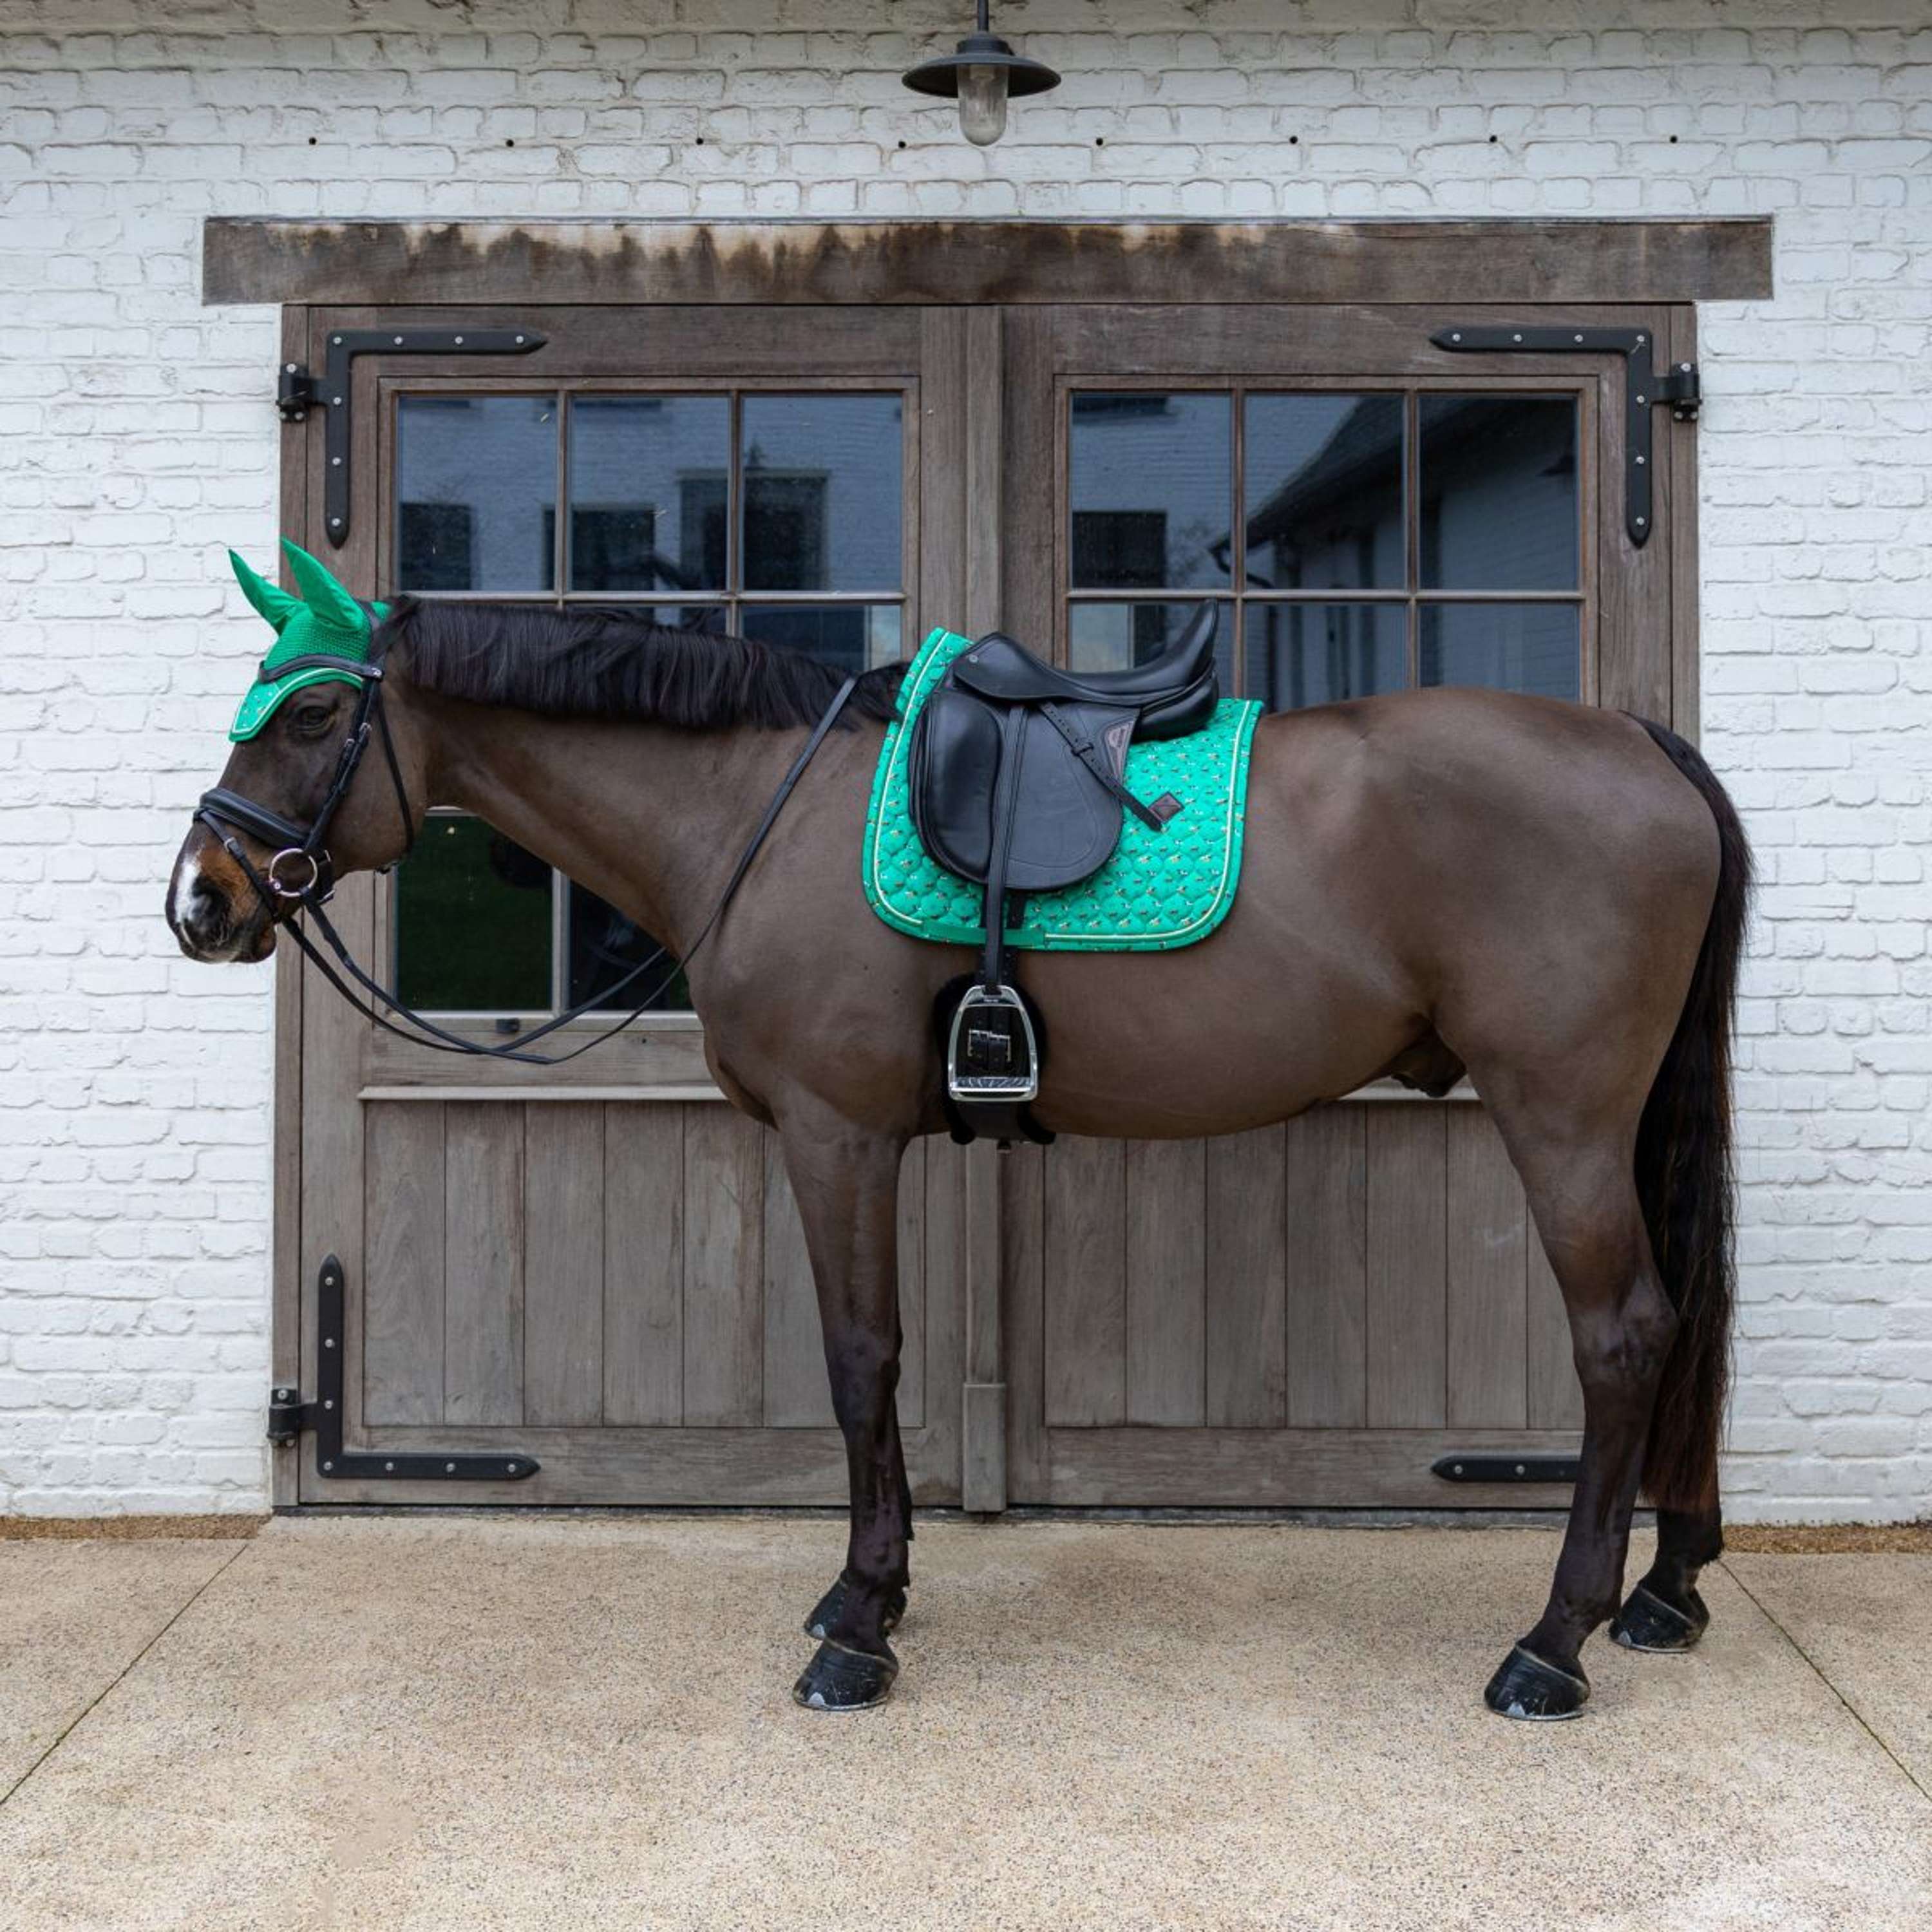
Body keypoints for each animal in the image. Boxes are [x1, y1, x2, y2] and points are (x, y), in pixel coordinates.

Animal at [168, 558, 1750, 1721]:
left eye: (312, 715)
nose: (203, 899)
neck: (757, 808)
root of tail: (1639, 740)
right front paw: (869, 1592)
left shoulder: (839, 1137)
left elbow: (862, 1360)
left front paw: (859, 1629)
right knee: (1684, 1321)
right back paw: (1668, 1590)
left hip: (1563, 1119)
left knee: (1624, 1337)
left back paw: (1551, 1645)